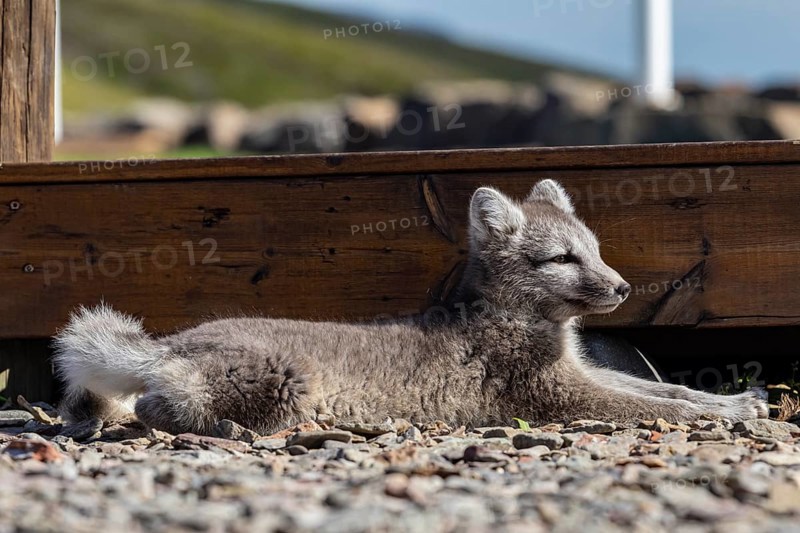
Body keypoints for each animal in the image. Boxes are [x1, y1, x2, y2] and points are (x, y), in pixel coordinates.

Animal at [53, 180, 768, 435]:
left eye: (595, 251)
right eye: (564, 258)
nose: (621, 289)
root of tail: (169, 342)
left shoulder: (585, 372)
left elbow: (667, 389)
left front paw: (736, 401)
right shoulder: (554, 394)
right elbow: (654, 407)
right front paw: (723, 415)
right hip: (284, 383)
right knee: (153, 405)